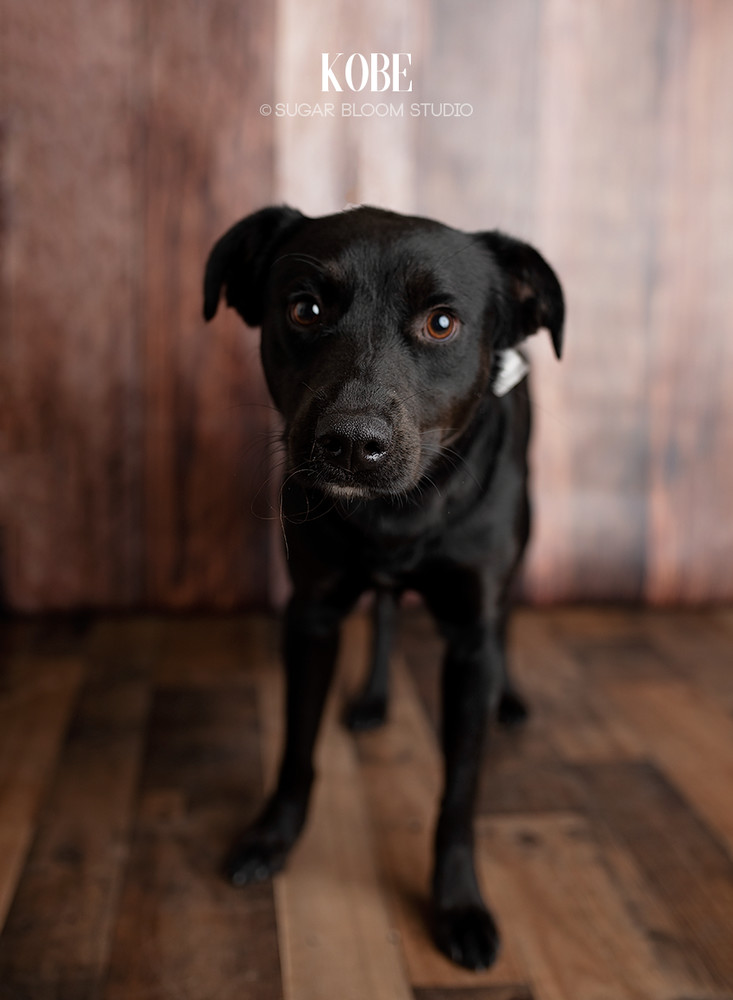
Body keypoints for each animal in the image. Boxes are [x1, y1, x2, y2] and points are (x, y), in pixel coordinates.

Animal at [203, 207, 564, 972]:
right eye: (304, 309)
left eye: (441, 323)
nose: (349, 443)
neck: (401, 514)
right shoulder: (311, 614)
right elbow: (295, 748)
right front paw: (273, 836)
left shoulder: (468, 640)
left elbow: (459, 792)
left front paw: (457, 904)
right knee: (390, 611)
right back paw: (372, 697)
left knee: (505, 618)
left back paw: (510, 698)